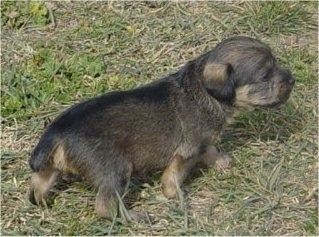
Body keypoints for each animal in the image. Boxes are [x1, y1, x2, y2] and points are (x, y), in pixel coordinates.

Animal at [28, 35, 296, 220]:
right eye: (265, 76)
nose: (293, 79)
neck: (204, 90)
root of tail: (57, 131)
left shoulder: (202, 142)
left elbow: (210, 150)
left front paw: (221, 162)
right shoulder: (186, 152)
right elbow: (174, 176)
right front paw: (174, 196)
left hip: (52, 168)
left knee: (39, 182)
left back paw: (43, 204)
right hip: (116, 169)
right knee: (105, 206)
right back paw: (132, 218)